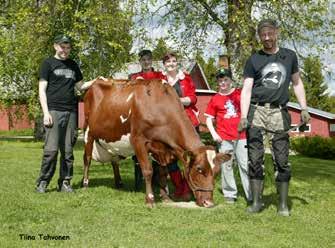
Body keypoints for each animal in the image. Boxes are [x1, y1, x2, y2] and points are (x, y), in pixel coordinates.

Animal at [83, 78, 231, 208]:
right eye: (199, 169)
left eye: (217, 172)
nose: (209, 203)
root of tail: (98, 80)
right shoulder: (138, 140)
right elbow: (148, 171)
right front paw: (150, 200)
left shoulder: (162, 149)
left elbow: (162, 173)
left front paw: (165, 197)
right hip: (88, 133)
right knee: (87, 159)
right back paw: (85, 183)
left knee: (114, 160)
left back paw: (119, 182)